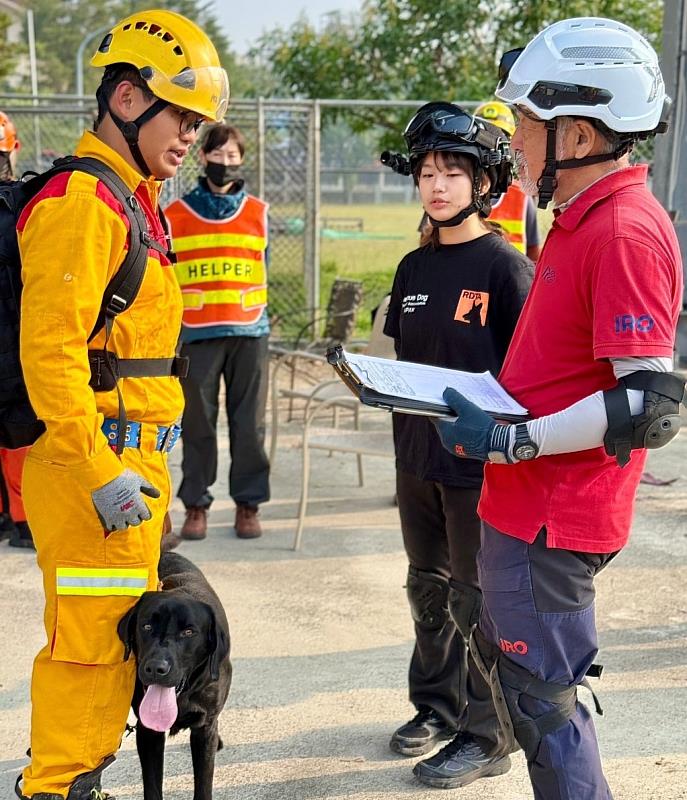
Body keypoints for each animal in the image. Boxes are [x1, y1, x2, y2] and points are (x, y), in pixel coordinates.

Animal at [119, 552, 234, 800]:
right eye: (146, 626)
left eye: (188, 632)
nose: (155, 668)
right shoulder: (148, 732)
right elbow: (152, 786)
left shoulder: (204, 729)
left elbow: (204, 784)